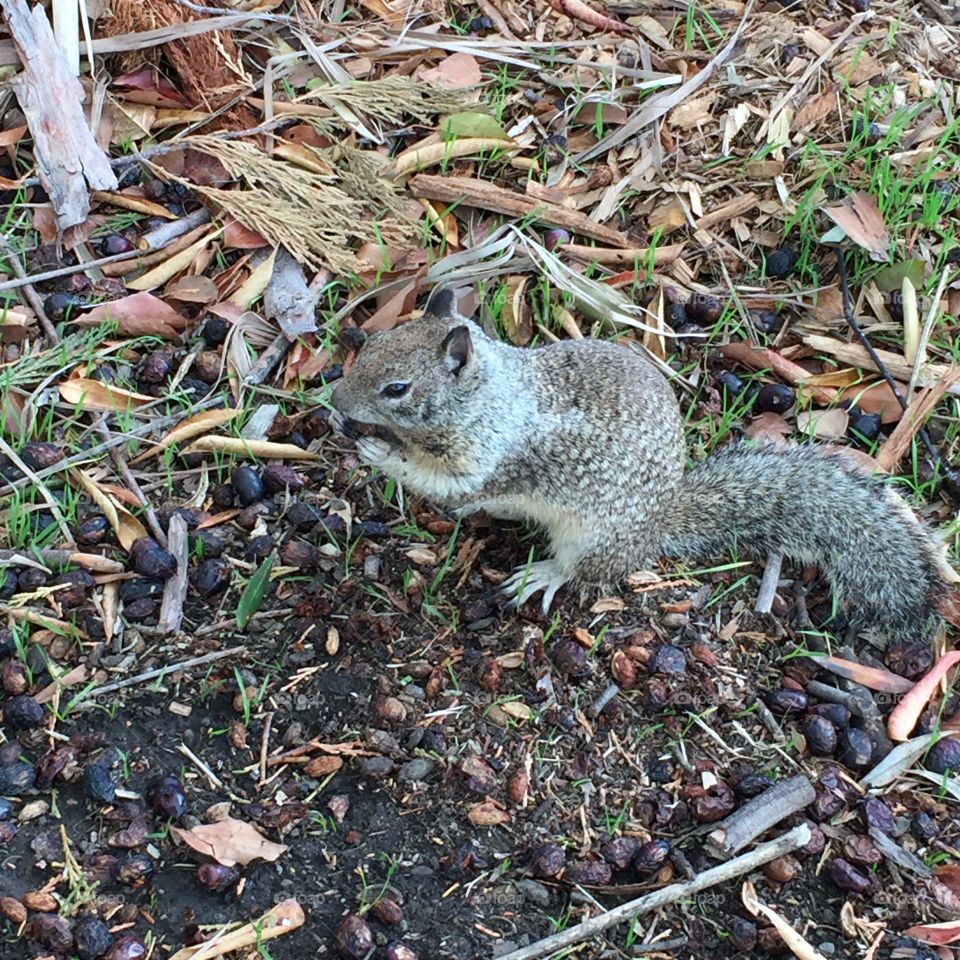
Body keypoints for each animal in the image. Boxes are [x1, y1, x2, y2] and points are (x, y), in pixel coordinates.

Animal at [328, 284, 952, 644]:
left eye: (397, 388)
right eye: (373, 344)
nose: (335, 401)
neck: (493, 397)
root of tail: (657, 526)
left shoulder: (488, 457)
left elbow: (446, 483)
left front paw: (379, 451)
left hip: (595, 539)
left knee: (582, 570)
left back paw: (545, 572)